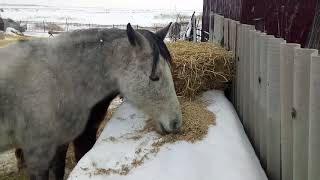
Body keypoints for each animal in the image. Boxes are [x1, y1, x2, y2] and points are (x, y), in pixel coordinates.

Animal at [0, 23, 181, 179]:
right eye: (154, 77)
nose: (176, 123)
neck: (59, 78)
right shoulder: (39, 153)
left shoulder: (63, 142)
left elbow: (60, 169)